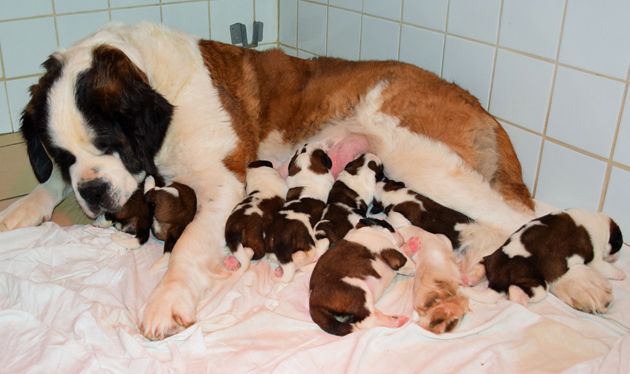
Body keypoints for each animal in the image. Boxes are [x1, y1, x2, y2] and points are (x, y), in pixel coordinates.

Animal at [0, 21, 540, 340]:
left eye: (110, 143)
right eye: (63, 154)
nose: (94, 194)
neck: (156, 81)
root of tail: (478, 106)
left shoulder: (222, 184)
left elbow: (189, 245)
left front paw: (166, 300)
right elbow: (50, 182)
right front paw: (23, 208)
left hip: (423, 157)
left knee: (512, 218)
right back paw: (439, 290)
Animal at [484, 207, 628, 312]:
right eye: (618, 245)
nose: (616, 257)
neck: (597, 221)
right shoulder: (596, 258)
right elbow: (605, 268)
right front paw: (621, 274)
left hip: (490, 259)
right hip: (537, 284)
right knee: (517, 289)